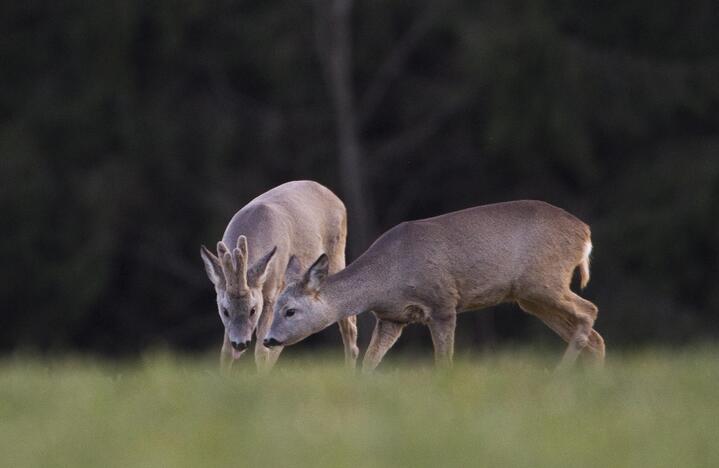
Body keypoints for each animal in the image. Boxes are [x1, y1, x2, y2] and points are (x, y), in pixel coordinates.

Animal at [200, 180, 360, 372]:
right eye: (225, 311)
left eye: (253, 310)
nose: (240, 343)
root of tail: (336, 198)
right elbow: (225, 352)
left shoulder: (272, 293)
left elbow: (261, 352)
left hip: (337, 255)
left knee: (349, 323)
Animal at [268, 201, 604, 372]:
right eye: (274, 308)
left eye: (290, 311)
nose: (269, 339)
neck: (387, 277)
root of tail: (586, 232)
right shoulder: (392, 318)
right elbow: (369, 361)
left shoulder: (443, 302)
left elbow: (444, 360)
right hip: (530, 296)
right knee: (594, 337)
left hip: (544, 280)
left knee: (590, 310)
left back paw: (560, 374)